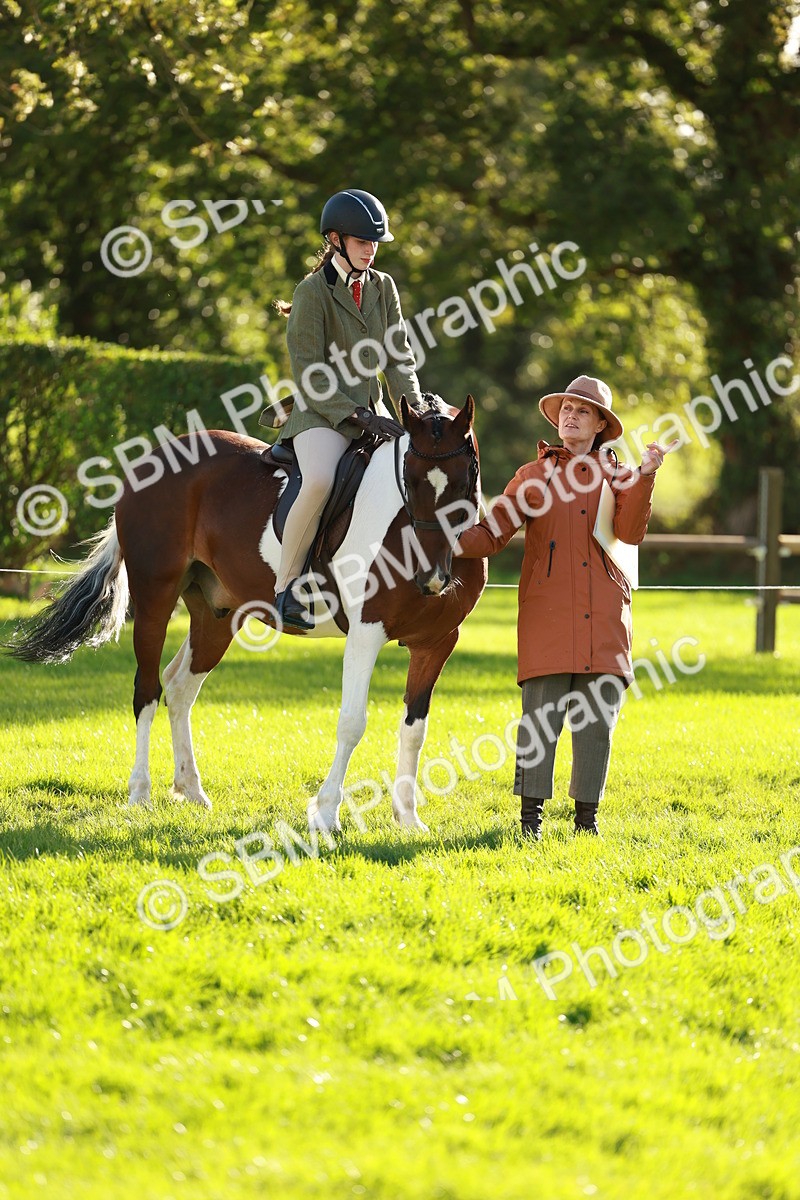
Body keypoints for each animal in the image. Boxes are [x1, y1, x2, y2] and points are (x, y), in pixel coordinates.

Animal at [6, 395, 486, 834]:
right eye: (410, 479)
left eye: (466, 478)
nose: (432, 577)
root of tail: (154, 458)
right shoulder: (366, 633)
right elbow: (352, 723)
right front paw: (326, 813)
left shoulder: (437, 643)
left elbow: (414, 729)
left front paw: (408, 819)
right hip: (155, 599)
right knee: (147, 690)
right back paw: (140, 793)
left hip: (217, 615)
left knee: (179, 687)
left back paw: (192, 790)